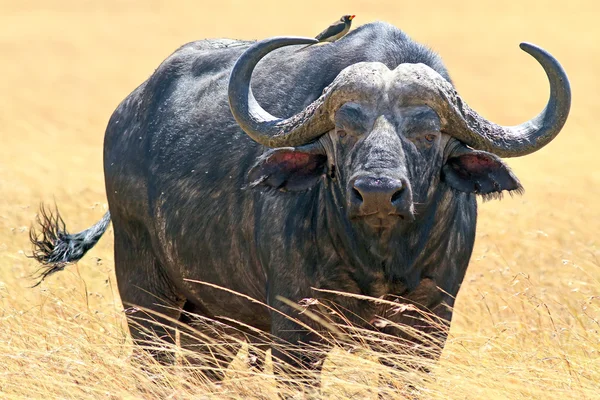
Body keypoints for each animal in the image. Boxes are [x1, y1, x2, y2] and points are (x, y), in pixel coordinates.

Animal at [29, 21, 572, 384]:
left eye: (428, 131)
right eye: (343, 129)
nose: (378, 190)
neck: (375, 256)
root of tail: (127, 113)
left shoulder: (424, 329)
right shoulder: (295, 331)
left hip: (215, 318)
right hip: (146, 288)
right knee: (154, 365)